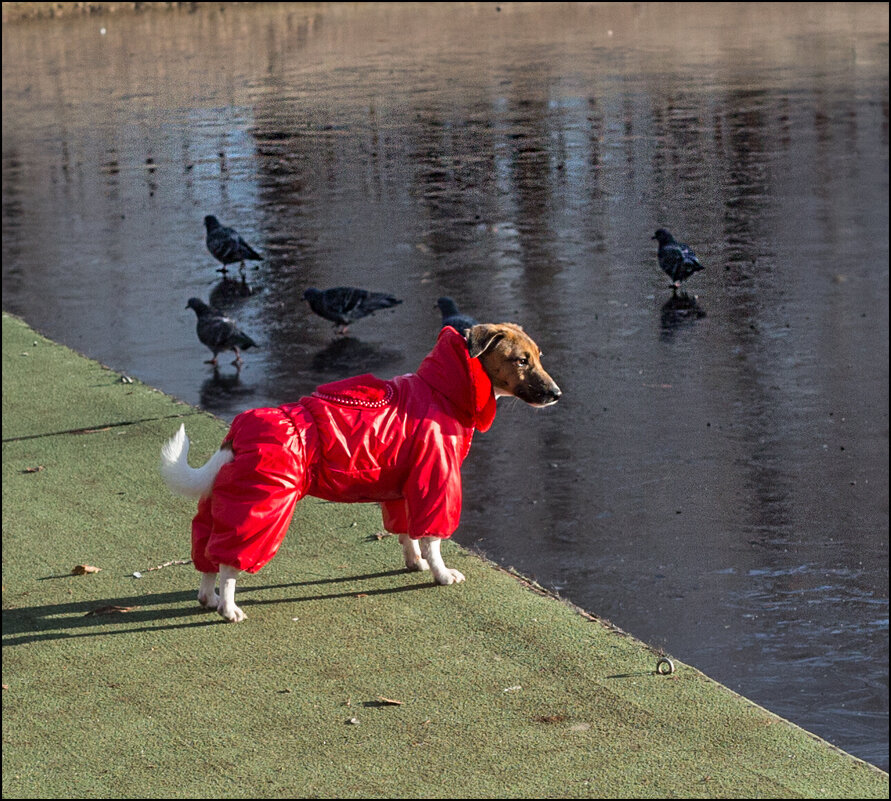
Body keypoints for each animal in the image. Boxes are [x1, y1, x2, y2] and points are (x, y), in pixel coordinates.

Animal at [162, 322, 556, 620]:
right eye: (521, 360)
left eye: (538, 357)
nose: (557, 393)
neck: (443, 389)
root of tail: (237, 433)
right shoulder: (435, 482)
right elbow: (432, 539)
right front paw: (442, 574)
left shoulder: (401, 489)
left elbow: (406, 534)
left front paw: (415, 563)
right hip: (260, 509)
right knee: (229, 565)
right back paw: (228, 609)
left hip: (223, 502)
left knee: (206, 555)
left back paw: (209, 598)